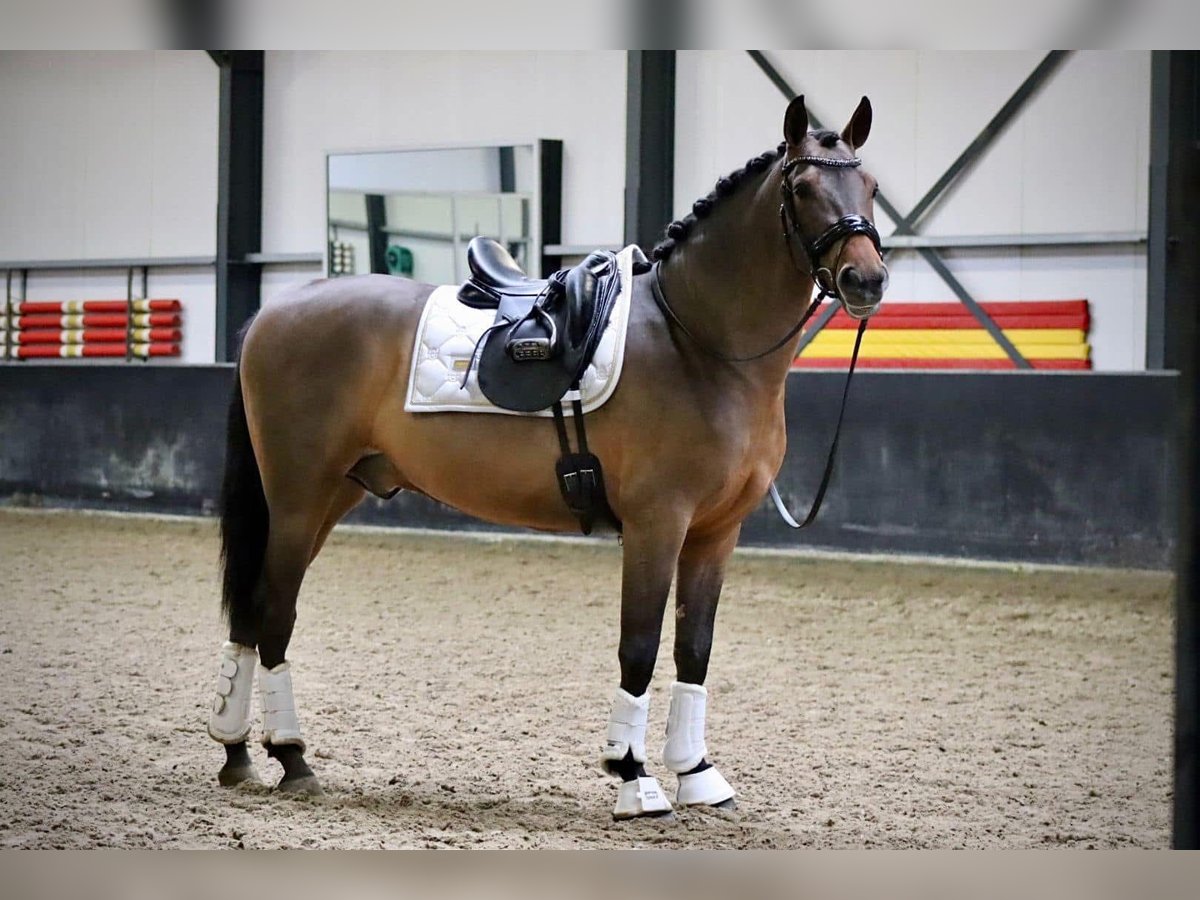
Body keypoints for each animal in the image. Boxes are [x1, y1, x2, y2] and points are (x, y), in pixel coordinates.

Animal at [205, 94, 888, 820]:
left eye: (872, 187)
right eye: (803, 187)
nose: (866, 279)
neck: (697, 344)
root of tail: (275, 311)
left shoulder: (715, 533)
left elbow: (693, 650)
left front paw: (697, 773)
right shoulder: (657, 524)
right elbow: (639, 646)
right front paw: (633, 777)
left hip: (332, 493)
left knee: (252, 610)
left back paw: (238, 751)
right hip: (298, 497)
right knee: (275, 614)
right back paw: (290, 756)